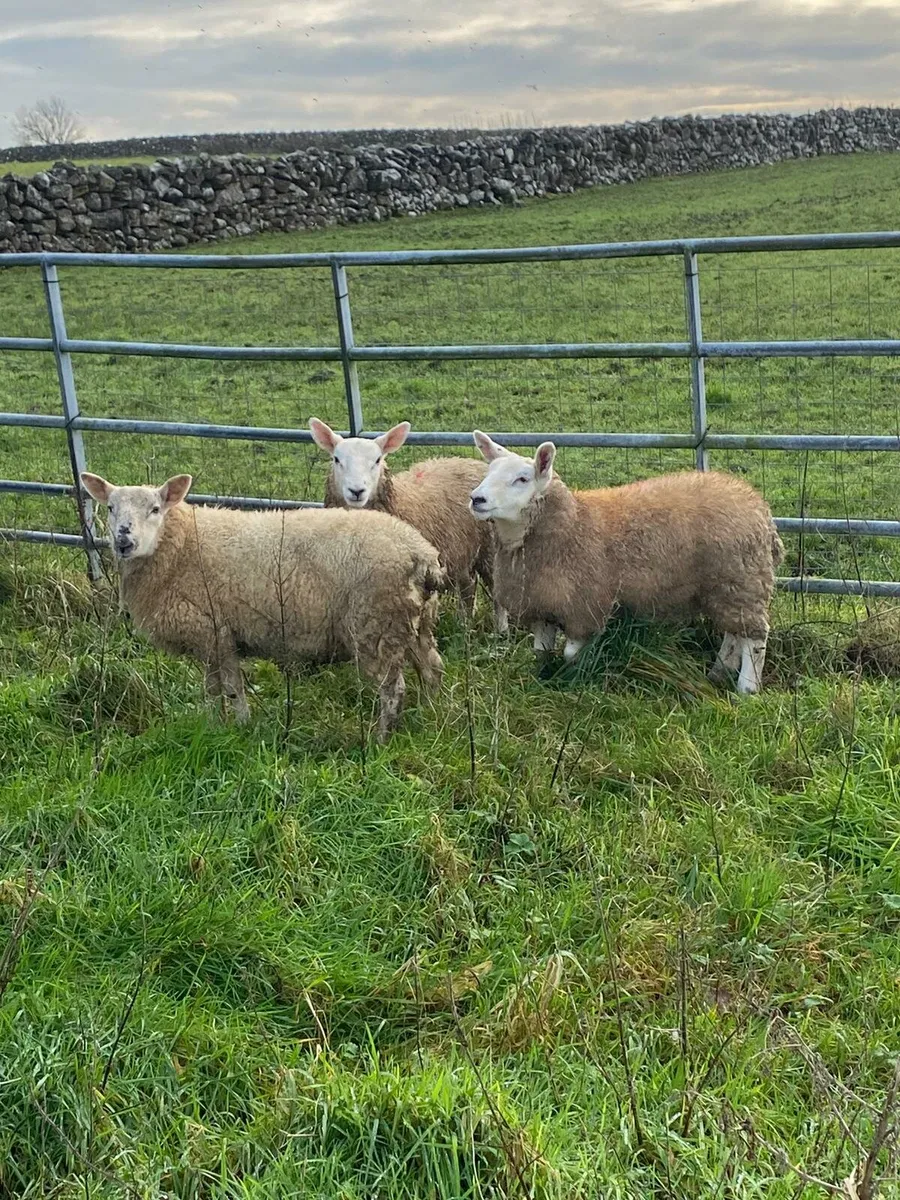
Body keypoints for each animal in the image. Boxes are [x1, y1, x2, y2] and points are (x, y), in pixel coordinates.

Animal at [80, 471, 446, 740]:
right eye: (110, 508)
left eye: (155, 509)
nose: (124, 540)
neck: (179, 545)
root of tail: (422, 555)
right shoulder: (215, 638)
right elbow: (215, 689)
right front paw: (217, 725)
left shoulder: (214, 632)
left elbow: (228, 688)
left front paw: (238, 726)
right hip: (414, 624)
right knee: (432, 669)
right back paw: (433, 716)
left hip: (374, 627)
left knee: (393, 689)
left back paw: (380, 738)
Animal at [309, 417, 507, 633]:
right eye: (336, 459)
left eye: (377, 460)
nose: (356, 491)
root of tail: (471, 461)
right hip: (462, 551)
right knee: (468, 586)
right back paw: (464, 626)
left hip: (490, 549)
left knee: (496, 591)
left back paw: (500, 631)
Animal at [468, 433, 784, 694]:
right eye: (488, 472)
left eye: (522, 479)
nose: (476, 499)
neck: (571, 523)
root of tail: (757, 504)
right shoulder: (542, 605)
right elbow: (541, 652)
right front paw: (541, 679)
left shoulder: (584, 606)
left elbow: (571, 654)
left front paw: (575, 679)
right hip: (727, 585)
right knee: (734, 632)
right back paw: (719, 672)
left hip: (743, 579)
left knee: (754, 639)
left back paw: (747, 688)